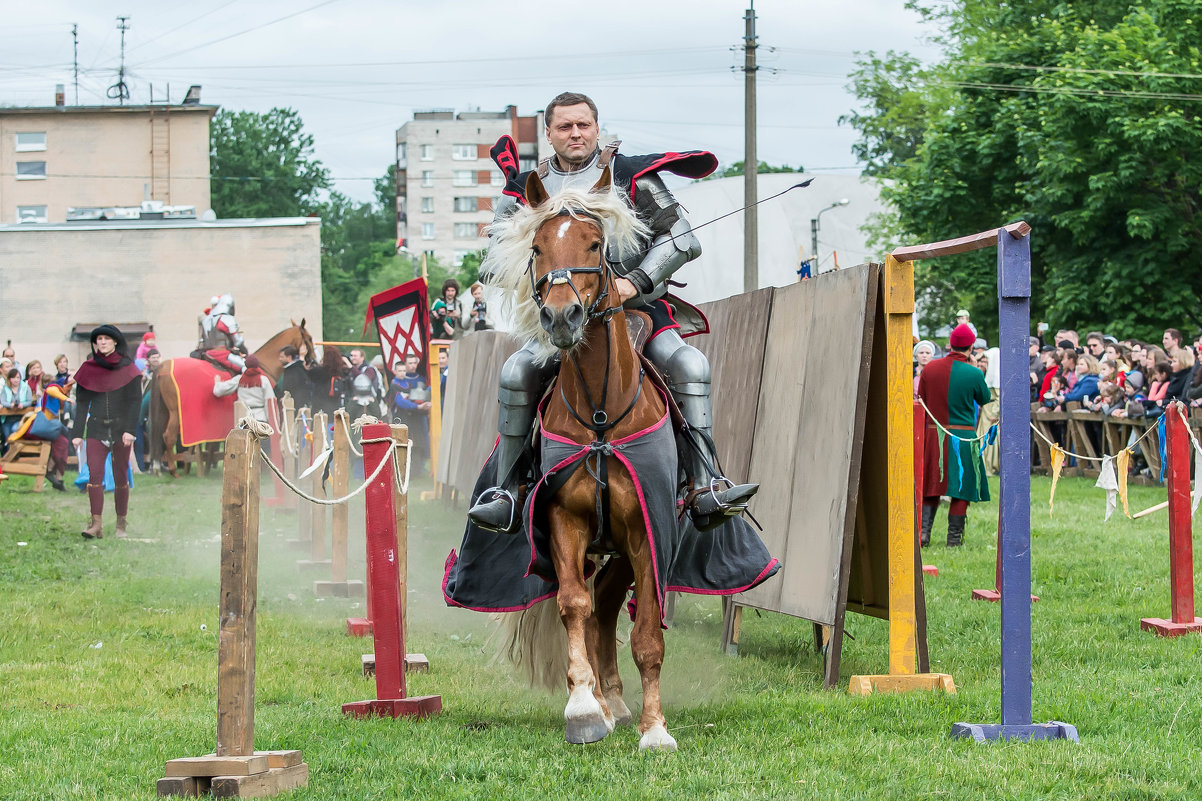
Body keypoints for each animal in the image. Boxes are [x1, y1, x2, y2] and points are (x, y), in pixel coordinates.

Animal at [149, 319, 314, 473]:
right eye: (310, 338)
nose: (311, 360)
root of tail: (163, 366)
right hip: (175, 414)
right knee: (168, 436)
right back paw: (172, 470)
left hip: (165, 412)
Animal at [485, 168, 677, 750]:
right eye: (537, 247)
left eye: (596, 244)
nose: (560, 316)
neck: (599, 414)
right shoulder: (564, 523)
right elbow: (574, 607)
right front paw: (584, 710)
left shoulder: (646, 532)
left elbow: (647, 636)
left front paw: (655, 730)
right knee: (595, 612)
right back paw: (606, 701)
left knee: (611, 611)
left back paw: (619, 700)